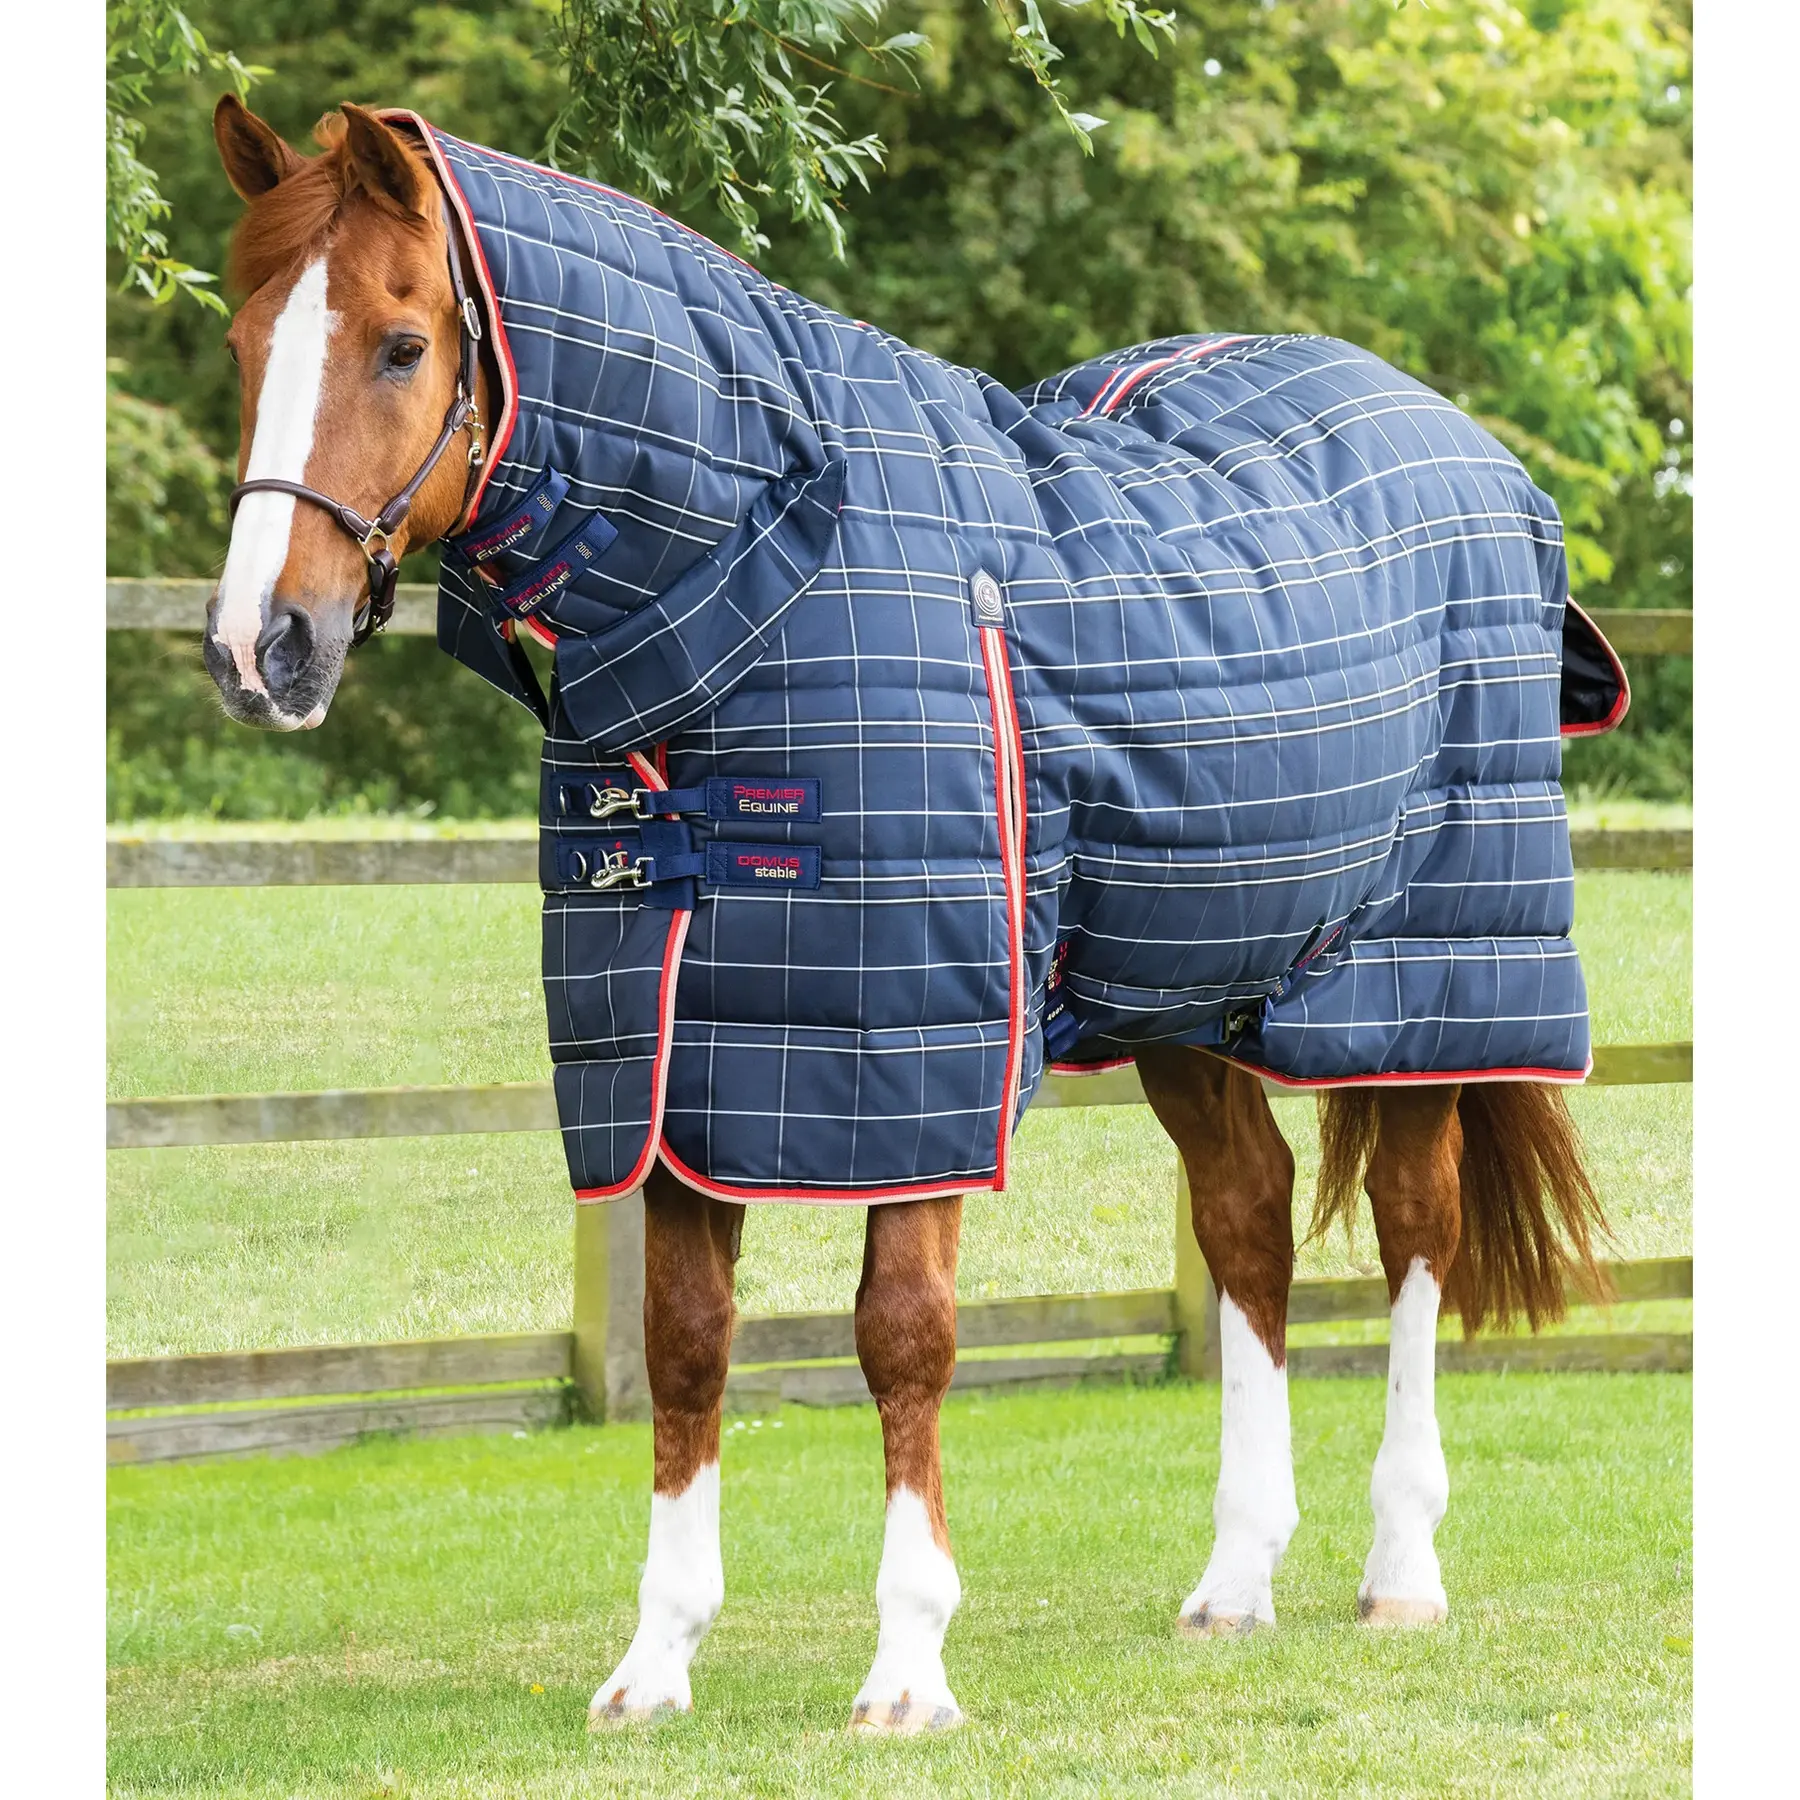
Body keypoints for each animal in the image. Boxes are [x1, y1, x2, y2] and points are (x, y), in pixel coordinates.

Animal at [202, 96, 1613, 1733]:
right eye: (244, 341)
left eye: (401, 344)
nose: (260, 647)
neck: (761, 573)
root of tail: (1478, 458)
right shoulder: (686, 1050)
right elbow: (686, 1343)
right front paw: (653, 1665)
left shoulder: (920, 1050)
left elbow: (904, 1336)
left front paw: (907, 1667)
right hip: (1187, 990)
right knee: (1248, 1224)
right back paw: (1236, 1582)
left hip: (1430, 977)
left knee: (1413, 1233)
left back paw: (1401, 1572)